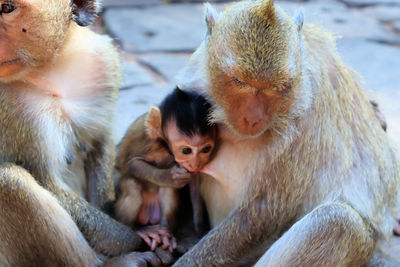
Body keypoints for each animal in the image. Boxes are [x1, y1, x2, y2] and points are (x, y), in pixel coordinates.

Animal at [0, 1, 161, 266]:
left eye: (7, 7)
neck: (50, 72)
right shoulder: (13, 113)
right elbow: (48, 182)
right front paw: (138, 236)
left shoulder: (103, 62)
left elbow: (99, 144)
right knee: (9, 181)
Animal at [114, 88, 217, 253]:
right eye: (186, 150)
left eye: (206, 149)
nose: (195, 163)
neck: (163, 146)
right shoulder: (145, 139)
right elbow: (131, 163)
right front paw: (169, 177)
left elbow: (194, 184)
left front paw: (200, 228)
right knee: (132, 188)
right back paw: (138, 229)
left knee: (168, 191)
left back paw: (166, 232)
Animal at [174, 1, 400, 266]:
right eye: (240, 82)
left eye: (279, 87)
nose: (254, 118)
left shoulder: (305, 123)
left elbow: (262, 211)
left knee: (339, 223)